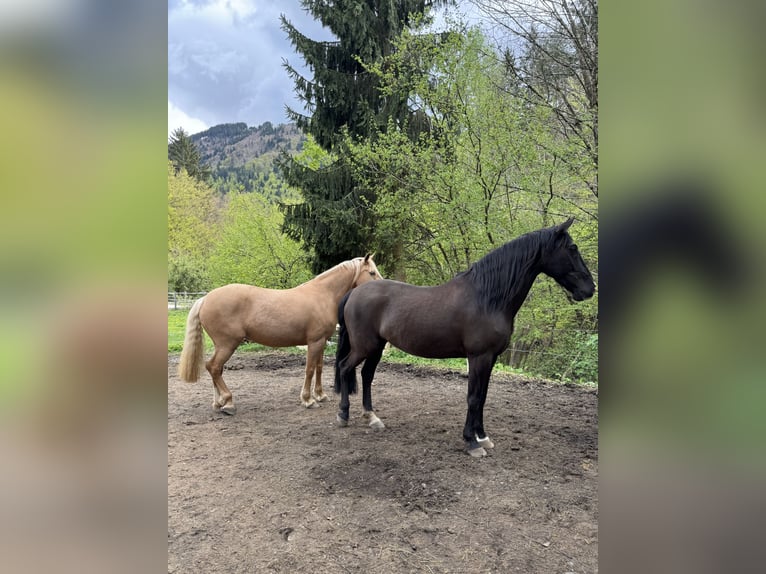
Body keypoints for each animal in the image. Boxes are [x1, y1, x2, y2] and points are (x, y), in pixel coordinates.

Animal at [181, 256, 384, 414]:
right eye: (372, 273)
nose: (383, 286)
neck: (323, 295)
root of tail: (205, 298)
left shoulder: (322, 342)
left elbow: (319, 368)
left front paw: (320, 395)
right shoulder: (314, 342)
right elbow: (310, 369)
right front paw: (308, 400)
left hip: (222, 346)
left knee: (215, 369)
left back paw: (219, 402)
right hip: (227, 345)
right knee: (214, 367)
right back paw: (228, 401)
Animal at [332, 220, 596, 460]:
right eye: (572, 248)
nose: (589, 289)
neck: (487, 298)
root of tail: (353, 293)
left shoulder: (490, 358)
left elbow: (483, 396)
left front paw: (483, 436)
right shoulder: (479, 357)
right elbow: (473, 397)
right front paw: (471, 442)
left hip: (377, 347)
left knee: (366, 375)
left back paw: (372, 418)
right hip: (364, 347)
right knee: (345, 368)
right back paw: (343, 415)